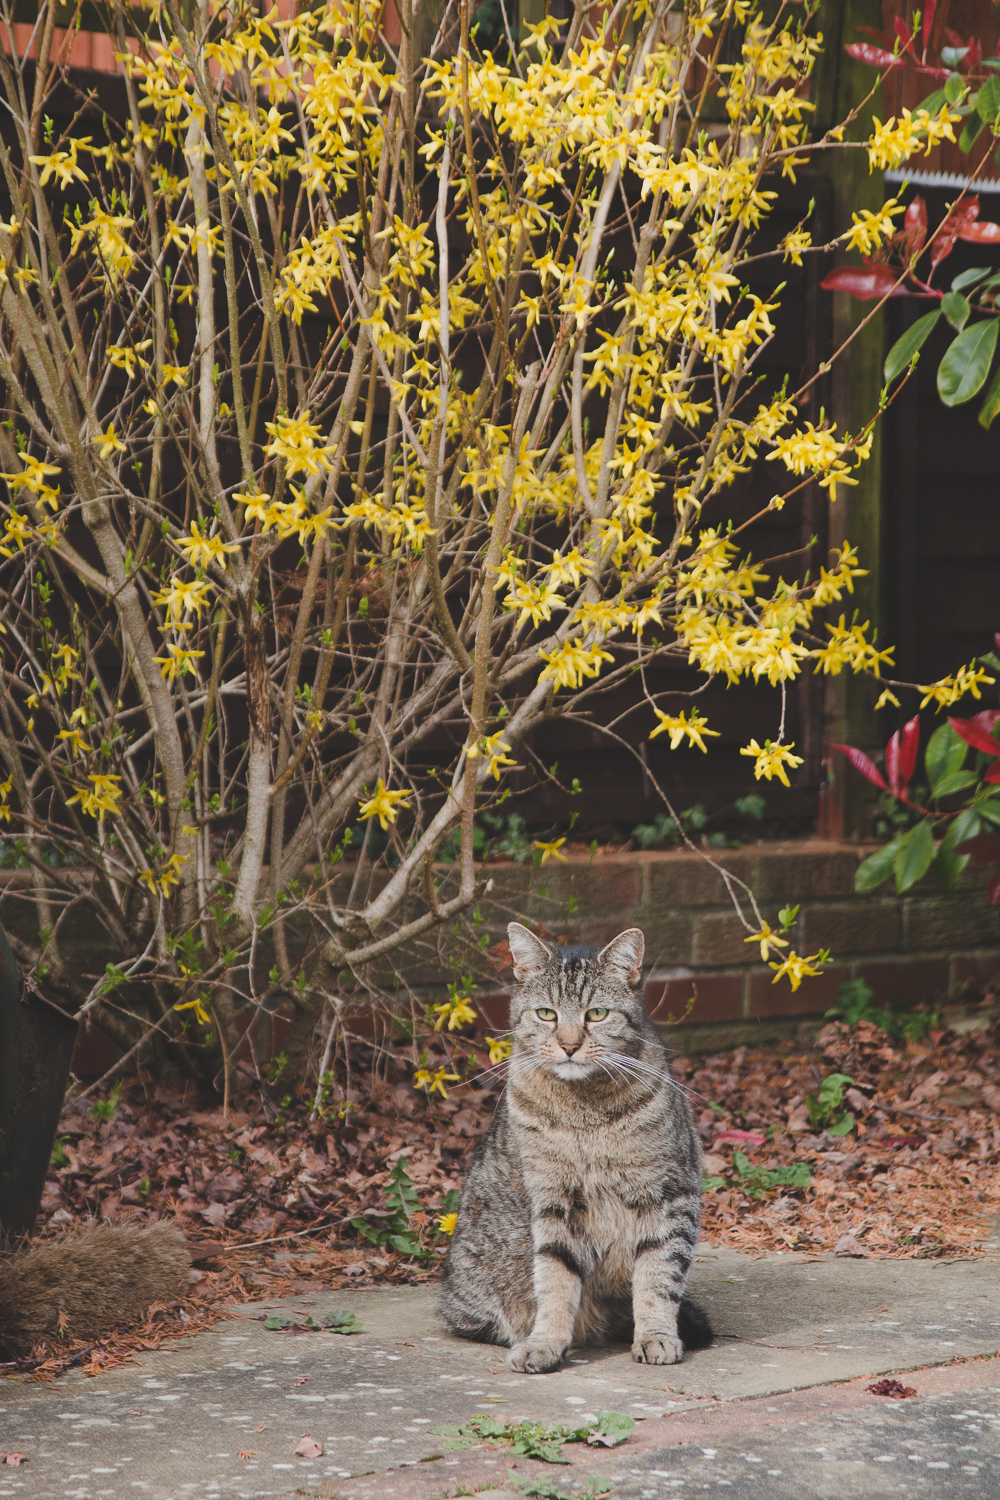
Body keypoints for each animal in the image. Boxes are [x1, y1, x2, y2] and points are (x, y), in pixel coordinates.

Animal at [437, 912, 710, 1374]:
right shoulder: (552, 1199)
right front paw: (546, 1341)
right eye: (546, 1014)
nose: (568, 1045)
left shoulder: (670, 1192)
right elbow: (554, 1277)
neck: (585, 1112)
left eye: (596, 1014)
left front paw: (655, 1334)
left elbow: (659, 1274)